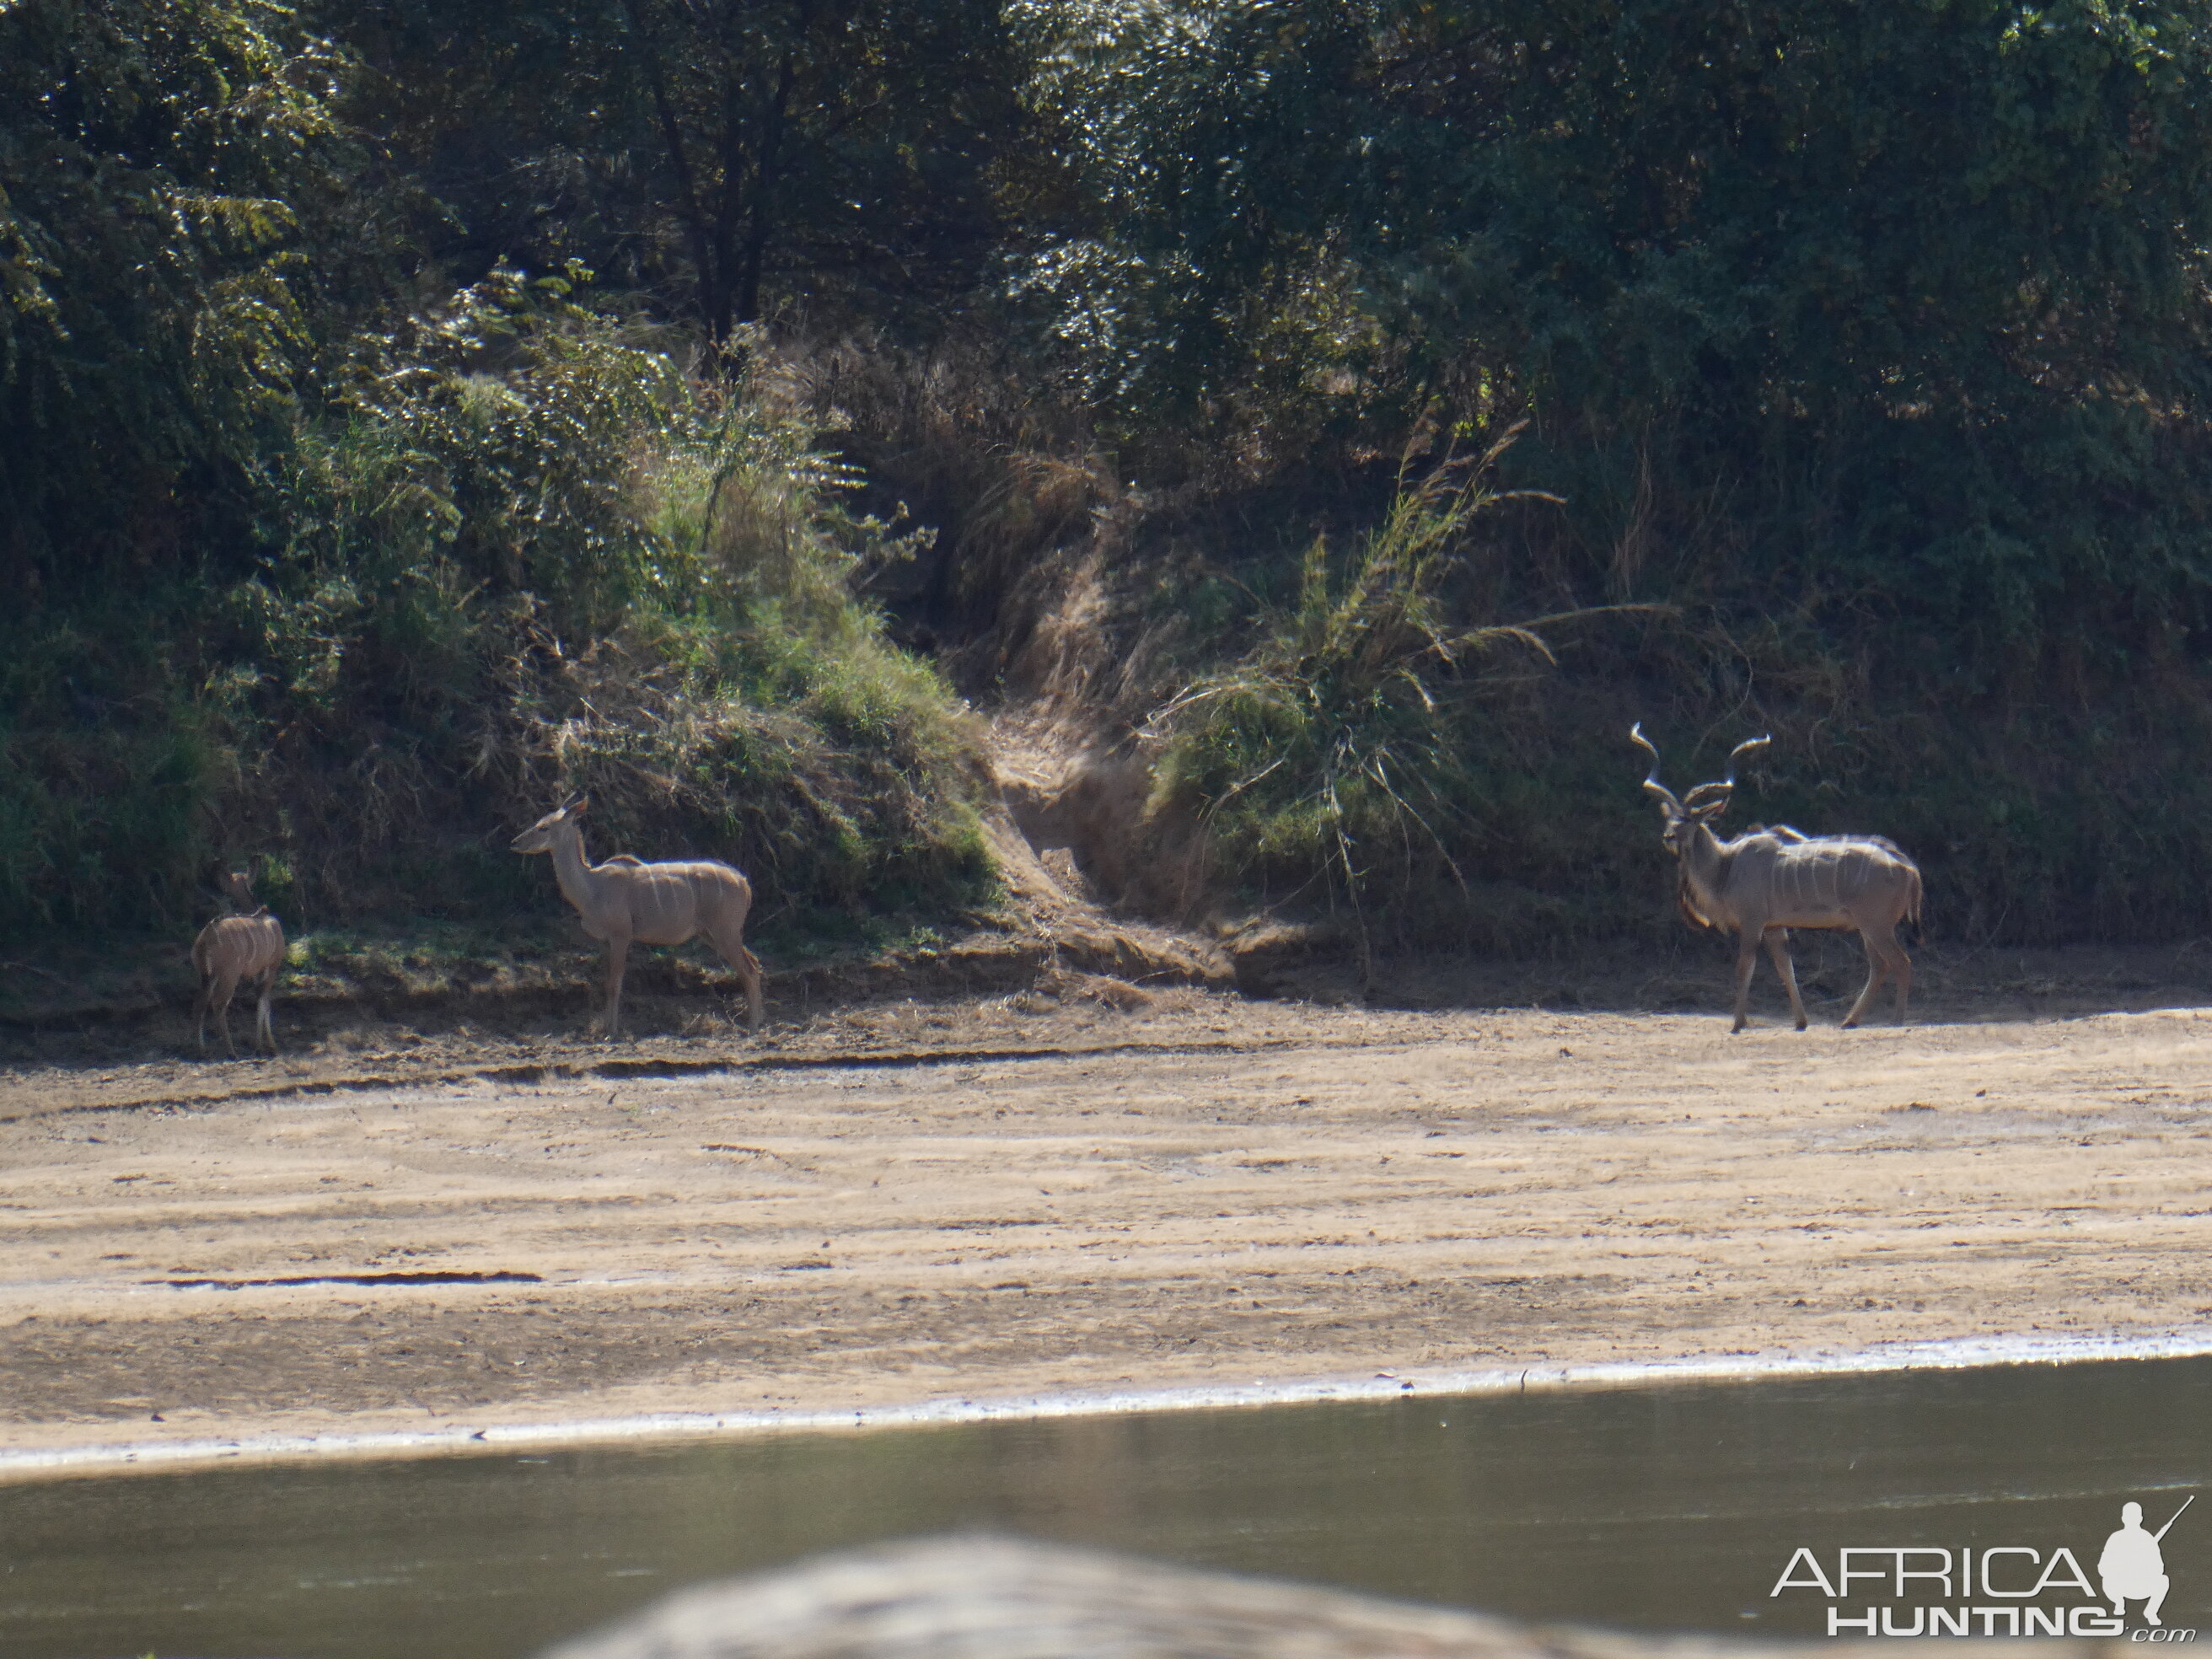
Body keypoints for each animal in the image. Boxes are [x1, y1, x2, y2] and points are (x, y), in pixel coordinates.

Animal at [511, 792, 770, 1039]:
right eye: (538, 822)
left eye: (544, 827)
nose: (515, 842)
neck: (592, 887)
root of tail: (743, 881)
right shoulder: (606, 941)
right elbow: (607, 982)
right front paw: (605, 1028)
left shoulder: (621, 935)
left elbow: (615, 984)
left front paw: (611, 1032)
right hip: (711, 934)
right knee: (754, 962)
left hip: (725, 931)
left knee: (748, 969)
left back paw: (753, 1029)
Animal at [1628, 721, 1919, 1035]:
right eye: (1670, 819)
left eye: (1692, 820)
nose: (1669, 837)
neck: (1726, 865)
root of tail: (1907, 867)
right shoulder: (1774, 927)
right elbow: (1785, 969)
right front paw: (1801, 1022)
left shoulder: (1752, 922)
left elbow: (1744, 968)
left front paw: (1738, 1024)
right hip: (1868, 928)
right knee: (1880, 966)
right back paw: (1849, 1021)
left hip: (1876, 925)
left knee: (1901, 962)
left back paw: (1896, 1020)